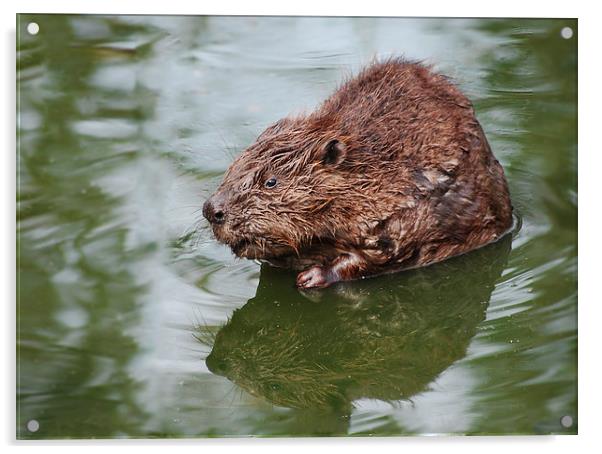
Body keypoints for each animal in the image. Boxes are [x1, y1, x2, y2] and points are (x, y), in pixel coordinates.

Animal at [203, 58, 510, 290]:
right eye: (233, 167)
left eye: (271, 181)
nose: (211, 210)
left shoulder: (404, 216)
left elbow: (376, 256)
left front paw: (309, 277)